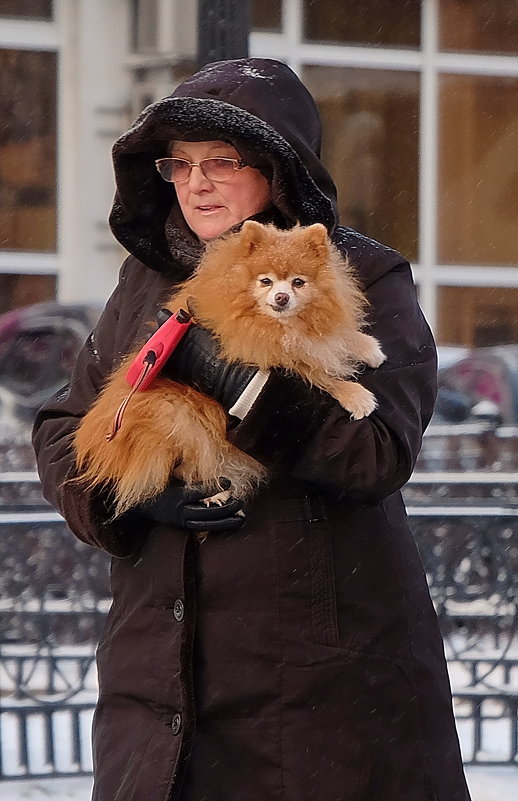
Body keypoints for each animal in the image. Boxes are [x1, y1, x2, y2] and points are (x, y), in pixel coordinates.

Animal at [72, 222, 386, 516]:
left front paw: (366, 347)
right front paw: (356, 395)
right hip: (174, 416)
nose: (281, 297)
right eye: (266, 281)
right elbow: (319, 374)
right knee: (182, 466)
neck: (278, 326)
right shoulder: (267, 354)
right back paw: (213, 495)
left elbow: (330, 341)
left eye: (298, 282)